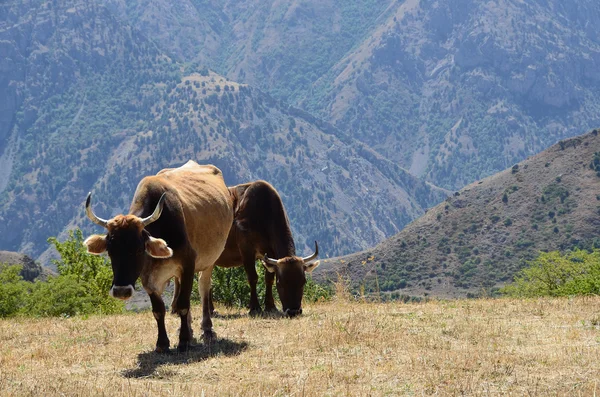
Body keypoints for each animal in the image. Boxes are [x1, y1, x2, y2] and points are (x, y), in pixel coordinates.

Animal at [83, 159, 233, 352]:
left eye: (139, 249)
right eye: (110, 251)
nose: (121, 291)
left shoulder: (188, 264)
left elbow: (183, 304)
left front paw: (184, 341)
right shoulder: (148, 279)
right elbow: (159, 310)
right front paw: (162, 343)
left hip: (209, 261)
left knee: (203, 288)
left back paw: (207, 330)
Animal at [214, 181, 322, 318]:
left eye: (303, 281)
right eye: (280, 283)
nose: (293, 311)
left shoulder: (270, 252)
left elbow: (268, 278)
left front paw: (270, 306)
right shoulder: (246, 249)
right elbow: (253, 277)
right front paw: (255, 307)